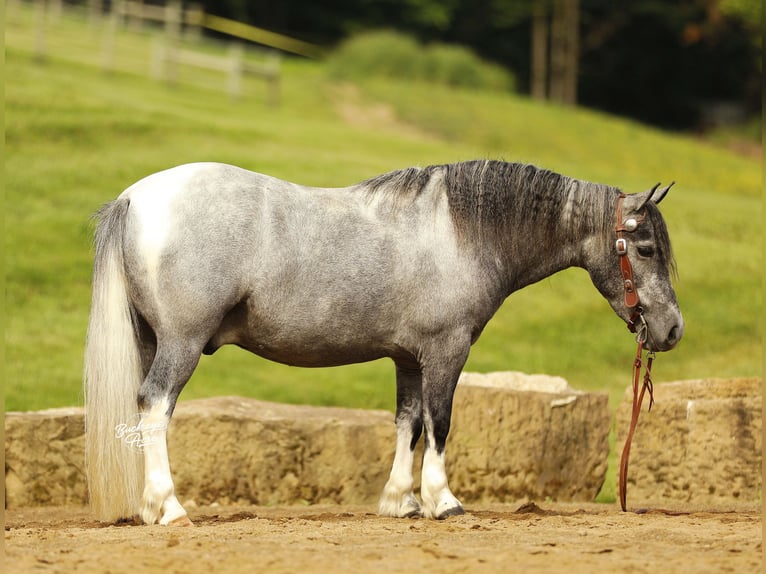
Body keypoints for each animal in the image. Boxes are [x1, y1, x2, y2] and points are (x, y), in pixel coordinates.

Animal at [83, 160, 683, 525]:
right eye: (646, 248)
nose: (673, 329)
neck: (461, 233)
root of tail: (134, 198)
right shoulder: (446, 351)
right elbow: (440, 422)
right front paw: (443, 500)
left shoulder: (407, 359)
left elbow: (407, 423)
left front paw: (402, 501)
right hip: (181, 344)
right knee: (156, 407)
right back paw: (169, 507)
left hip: (150, 340)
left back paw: (149, 508)